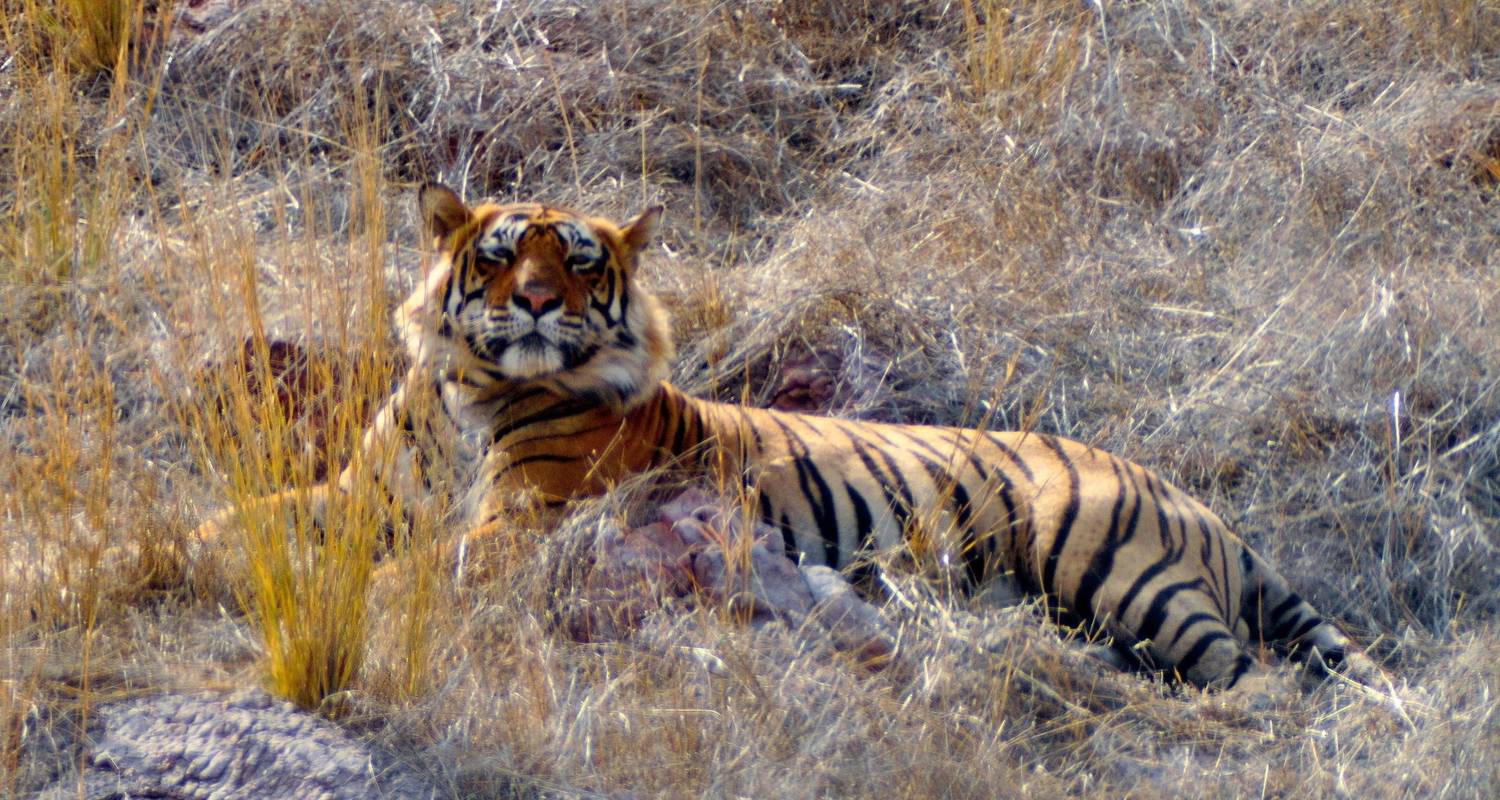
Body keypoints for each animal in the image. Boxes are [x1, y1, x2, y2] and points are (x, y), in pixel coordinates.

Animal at [193, 182, 1386, 693]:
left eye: (576, 261)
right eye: (497, 256)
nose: (530, 303)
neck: (473, 389)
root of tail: (1199, 501)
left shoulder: (525, 518)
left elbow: (417, 567)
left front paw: (362, 595)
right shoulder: (357, 496)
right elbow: (238, 519)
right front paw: (163, 551)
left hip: (1110, 565)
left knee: (1255, 680)